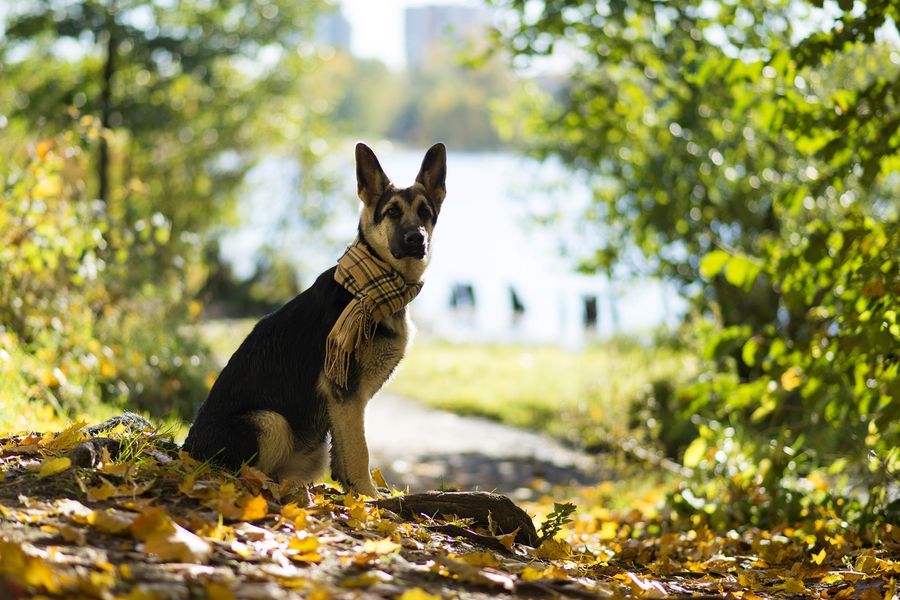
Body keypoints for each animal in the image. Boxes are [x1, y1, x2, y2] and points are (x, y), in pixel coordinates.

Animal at [184, 142, 446, 496]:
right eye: (392, 212)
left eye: (424, 212)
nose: (416, 239)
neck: (372, 285)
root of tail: (186, 451)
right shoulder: (345, 393)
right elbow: (360, 450)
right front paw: (369, 496)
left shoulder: (345, 404)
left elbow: (345, 452)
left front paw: (352, 493)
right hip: (270, 421)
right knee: (244, 473)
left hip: (309, 446)